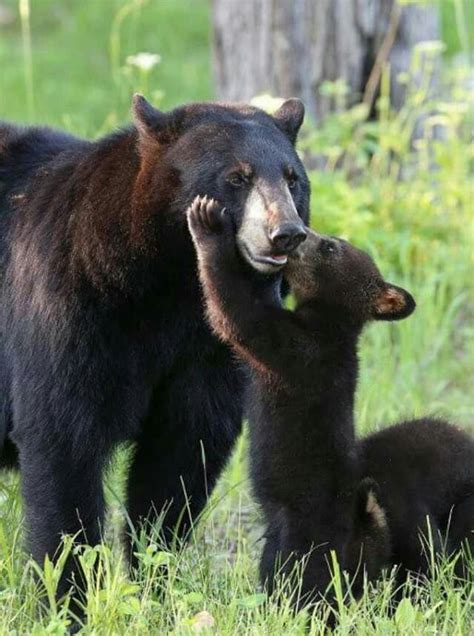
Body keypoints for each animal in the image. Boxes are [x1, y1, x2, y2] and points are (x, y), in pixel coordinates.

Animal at [0, 95, 310, 596]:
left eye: (292, 177)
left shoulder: (205, 348)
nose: (285, 233)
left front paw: (154, 578)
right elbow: (61, 438)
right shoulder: (67, 307)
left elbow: (181, 453)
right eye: (236, 177)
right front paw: (68, 593)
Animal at [187, 201, 472, 608]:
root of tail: (362, 525)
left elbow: (239, 315)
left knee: (304, 581)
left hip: (305, 534)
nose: (299, 232)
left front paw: (207, 223)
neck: (328, 323)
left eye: (330, 247)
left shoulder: (297, 349)